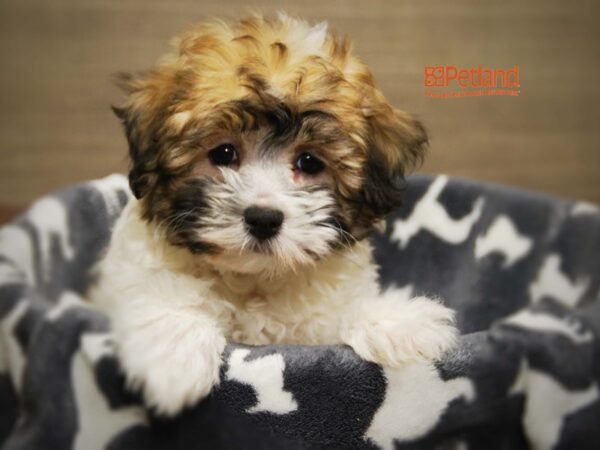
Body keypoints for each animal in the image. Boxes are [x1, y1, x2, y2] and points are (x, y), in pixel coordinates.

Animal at [92, 13, 454, 414]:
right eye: (223, 153)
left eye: (309, 161)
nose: (263, 219)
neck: (255, 280)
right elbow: (160, 296)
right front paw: (174, 352)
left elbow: (341, 315)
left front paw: (398, 325)